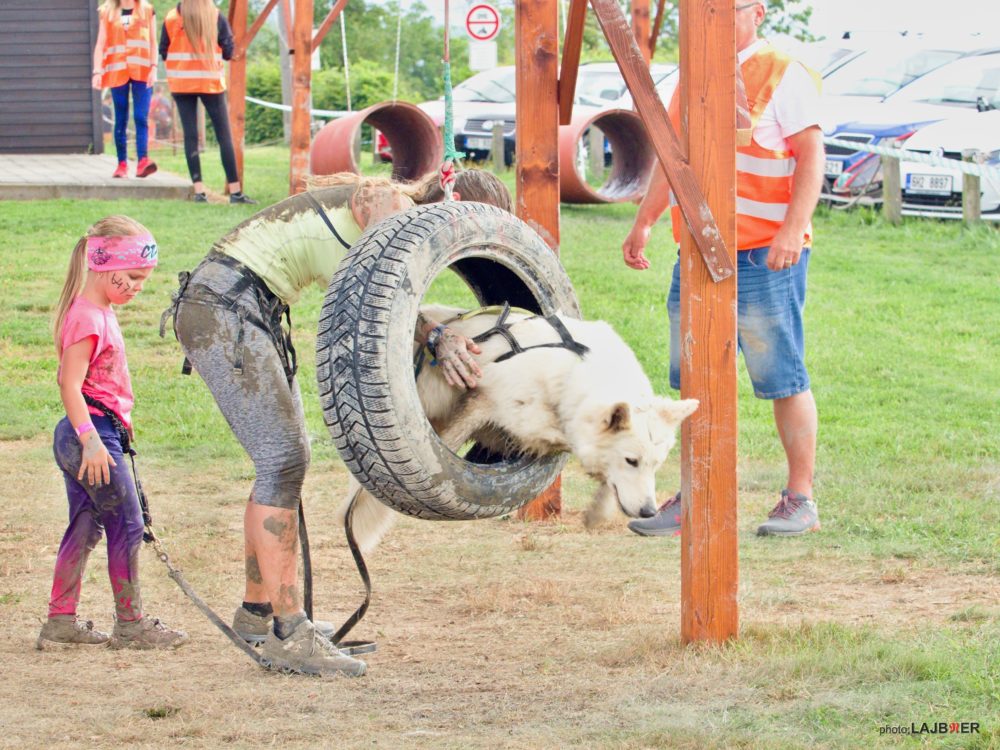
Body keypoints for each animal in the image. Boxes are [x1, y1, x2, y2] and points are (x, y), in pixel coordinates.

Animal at [336, 304, 696, 552]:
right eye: (631, 461)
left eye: (656, 465)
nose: (649, 511)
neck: (575, 366)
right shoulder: (485, 400)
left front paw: (599, 509)